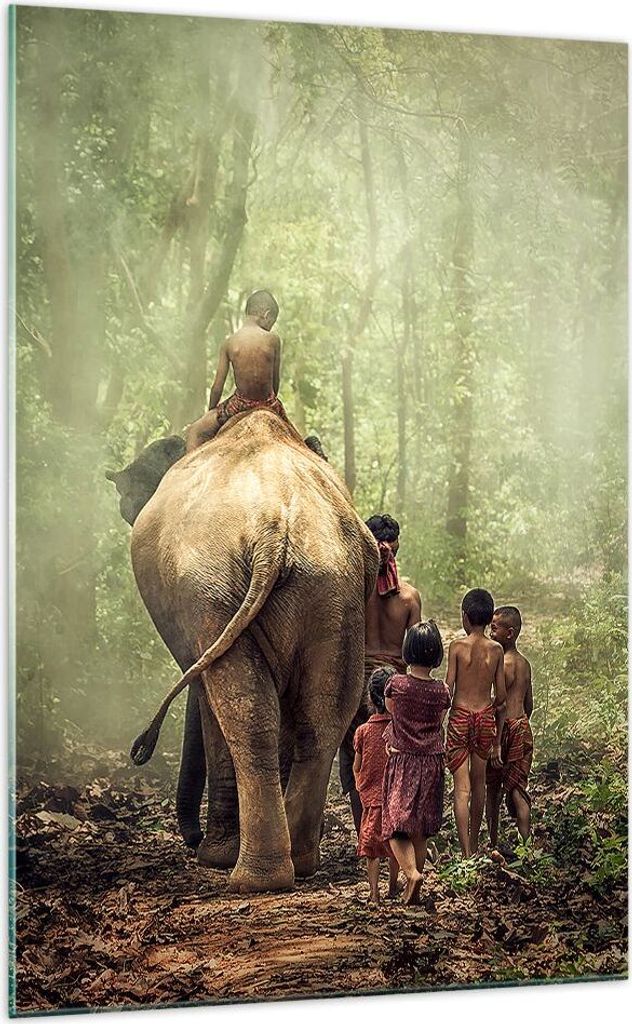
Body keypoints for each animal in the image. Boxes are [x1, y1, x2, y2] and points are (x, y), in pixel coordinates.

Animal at [107, 410, 378, 893]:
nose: (192, 839)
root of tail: (274, 528)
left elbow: (209, 701)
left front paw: (213, 855)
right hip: (333, 588)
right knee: (323, 715)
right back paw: (299, 861)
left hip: (213, 593)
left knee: (245, 711)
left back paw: (252, 875)